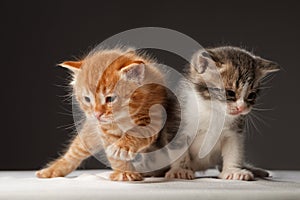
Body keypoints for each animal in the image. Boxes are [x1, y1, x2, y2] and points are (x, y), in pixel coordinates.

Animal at [36, 48, 179, 181]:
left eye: (110, 99)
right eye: (87, 99)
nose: (97, 114)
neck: (123, 117)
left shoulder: (153, 117)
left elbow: (136, 133)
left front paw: (122, 147)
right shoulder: (105, 130)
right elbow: (113, 155)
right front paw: (124, 172)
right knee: (74, 152)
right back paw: (51, 171)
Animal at [165, 46, 280, 180]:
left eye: (251, 95)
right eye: (230, 93)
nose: (241, 108)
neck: (212, 110)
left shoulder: (234, 132)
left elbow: (234, 151)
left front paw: (233, 170)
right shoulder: (177, 124)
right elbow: (179, 149)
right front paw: (180, 170)